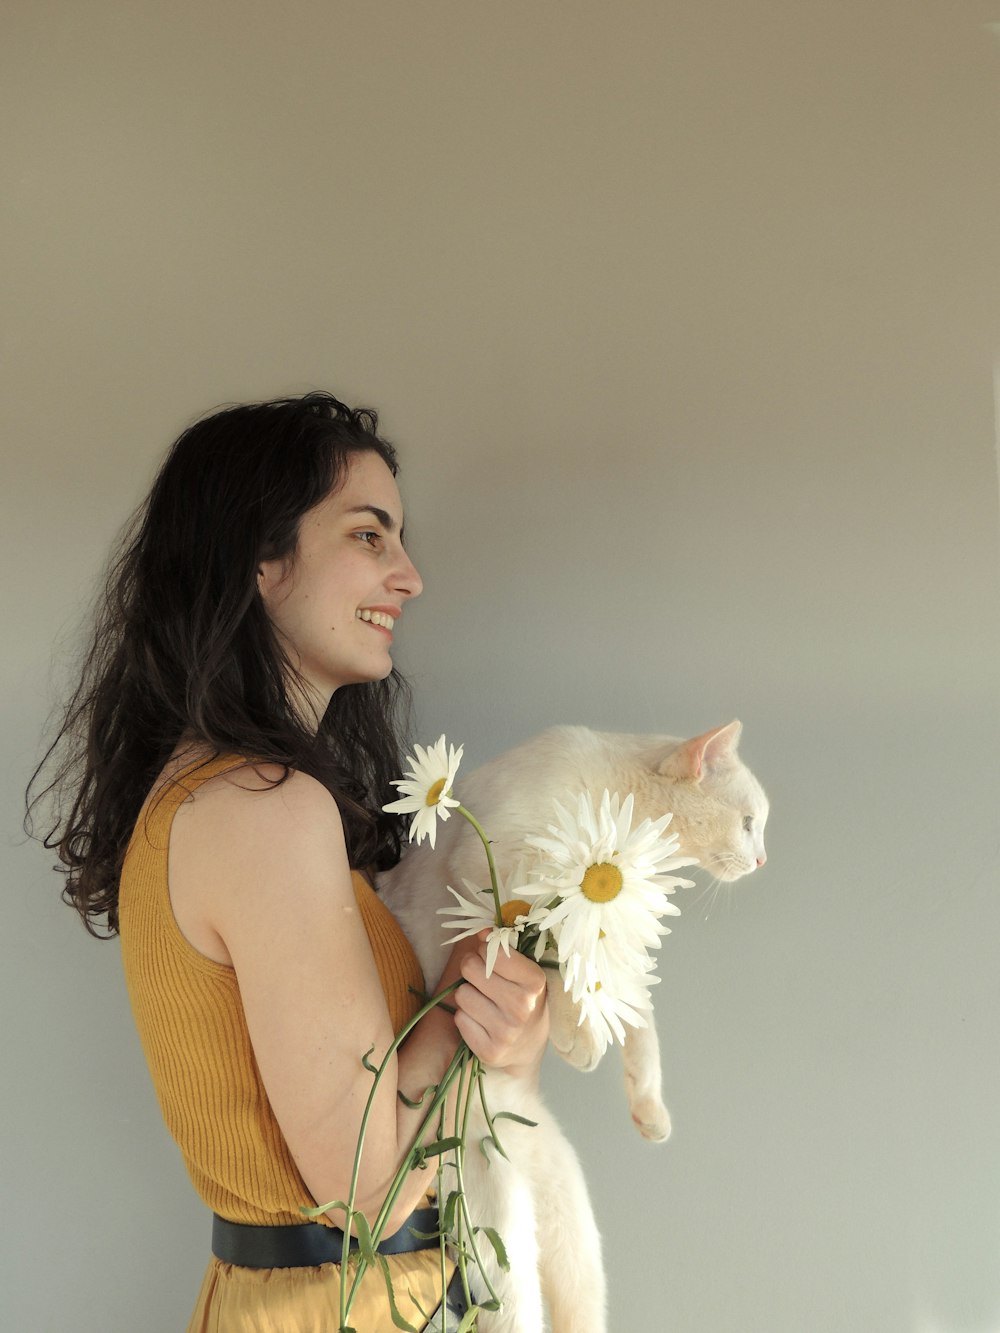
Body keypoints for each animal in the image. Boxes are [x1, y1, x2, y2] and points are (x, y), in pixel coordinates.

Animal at [378, 725, 773, 1327]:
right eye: (749, 822)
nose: (763, 859)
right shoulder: (500, 874)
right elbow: (554, 955)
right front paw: (575, 1032)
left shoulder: (613, 931)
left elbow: (635, 1014)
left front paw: (648, 1106)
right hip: (503, 1253)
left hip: (575, 1240)